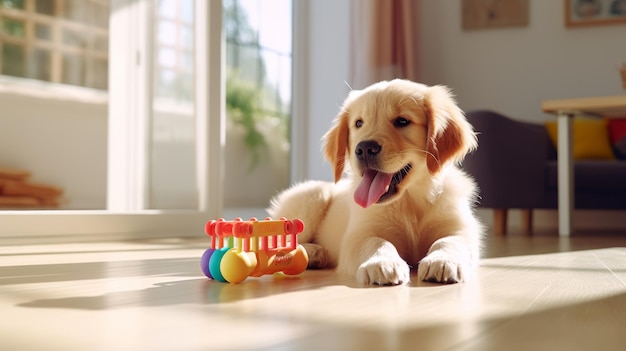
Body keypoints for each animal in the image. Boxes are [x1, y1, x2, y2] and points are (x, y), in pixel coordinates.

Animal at [266, 80, 480, 286]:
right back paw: (312, 252)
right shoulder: (358, 235)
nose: (364, 148)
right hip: (313, 196)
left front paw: (443, 260)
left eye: (402, 121)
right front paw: (383, 263)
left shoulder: (460, 227)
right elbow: (376, 242)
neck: (408, 200)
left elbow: (450, 240)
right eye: (359, 123)